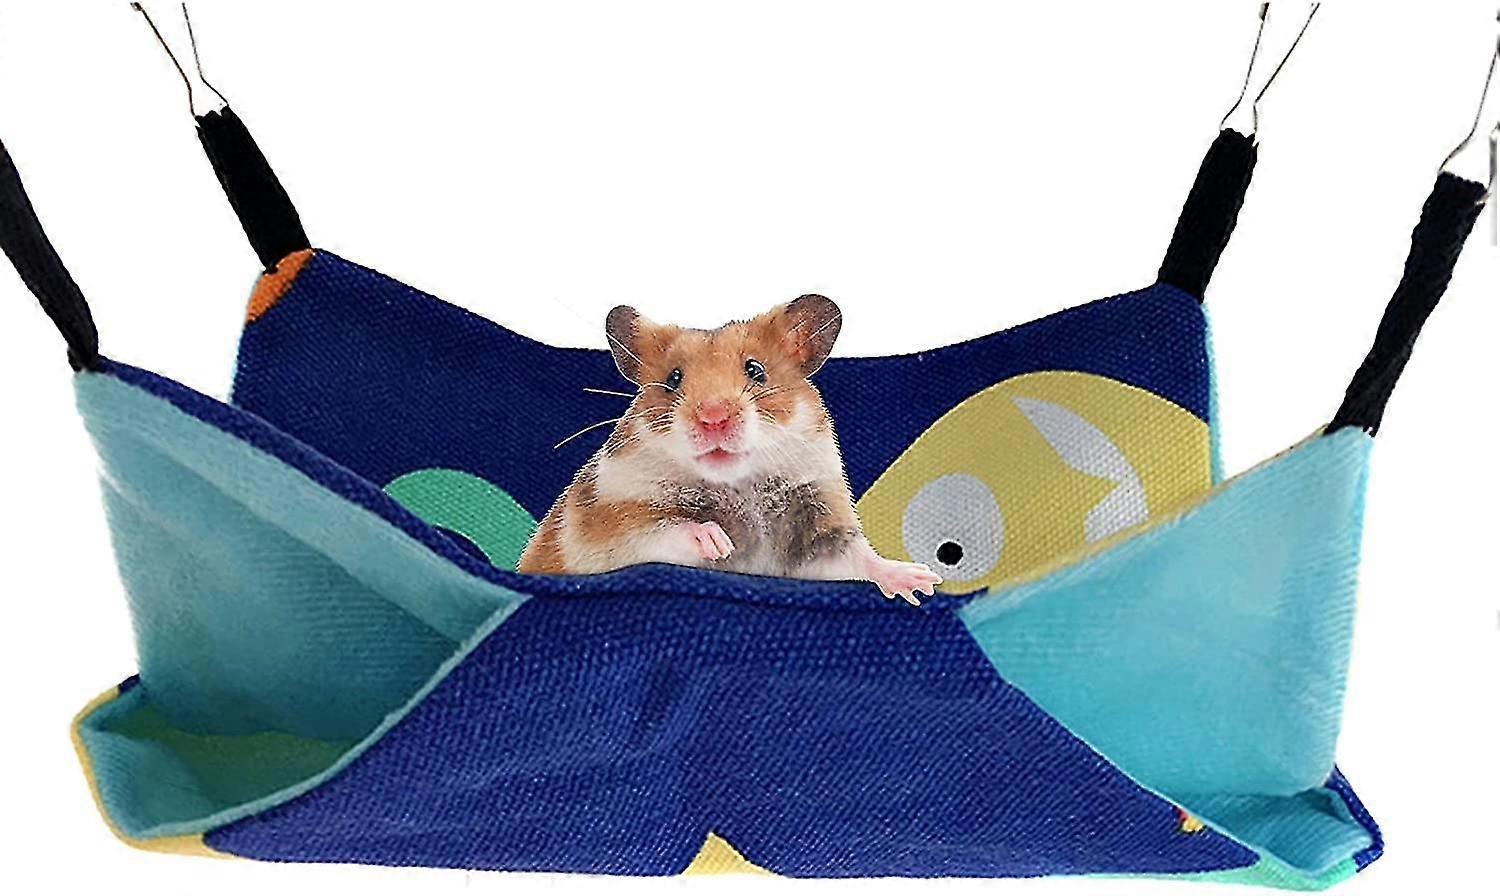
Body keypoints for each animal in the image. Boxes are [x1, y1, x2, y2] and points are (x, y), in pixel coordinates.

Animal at [517, 295, 942, 605]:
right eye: (673, 379)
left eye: (756, 370)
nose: (714, 418)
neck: (737, 485)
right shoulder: (606, 528)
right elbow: (662, 528)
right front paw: (718, 542)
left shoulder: (818, 527)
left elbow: (858, 556)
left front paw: (922, 582)